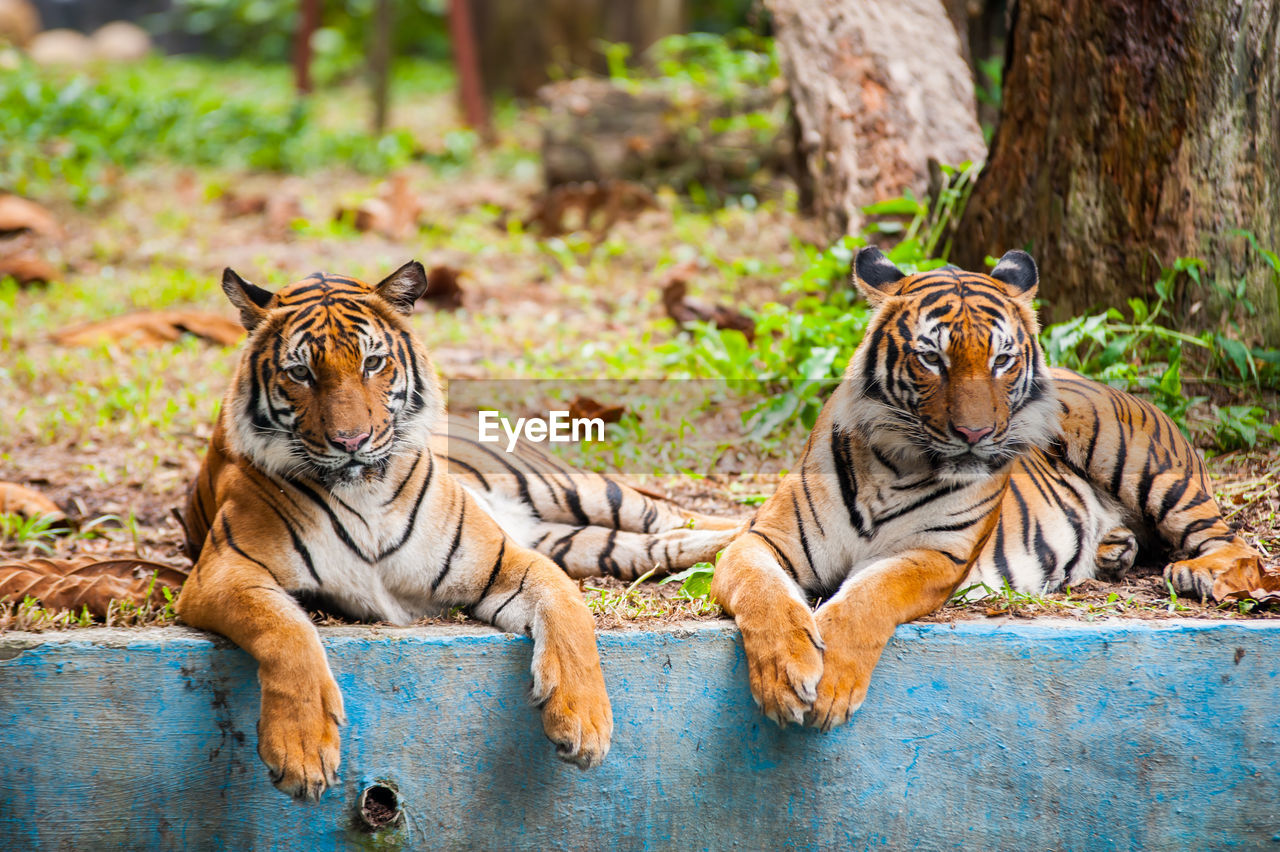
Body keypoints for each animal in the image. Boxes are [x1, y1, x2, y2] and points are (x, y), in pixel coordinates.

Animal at [179, 260, 742, 798]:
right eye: (300, 372)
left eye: (372, 362)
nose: (351, 441)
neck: (364, 494)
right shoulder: (224, 574)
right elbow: (287, 630)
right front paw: (299, 748)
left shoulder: (505, 561)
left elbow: (569, 610)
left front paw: (583, 722)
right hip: (579, 542)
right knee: (655, 542)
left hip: (568, 488)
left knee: (669, 515)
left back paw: (743, 532)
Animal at [716, 245, 1264, 731]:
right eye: (931, 358)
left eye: (1002, 359)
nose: (975, 433)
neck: (893, 466)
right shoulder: (764, 539)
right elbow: (762, 591)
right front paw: (784, 676)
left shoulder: (937, 554)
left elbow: (867, 597)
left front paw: (830, 686)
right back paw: (1113, 550)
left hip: (1134, 456)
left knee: (1234, 544)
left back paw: (1197, 574)